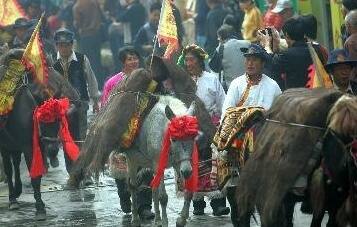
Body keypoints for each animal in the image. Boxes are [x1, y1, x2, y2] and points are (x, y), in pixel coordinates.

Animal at [0, 49, 79, 220]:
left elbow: (36, 174)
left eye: (59, 121)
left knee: (16, 163)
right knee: (9, 169)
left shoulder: (36, 145)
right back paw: (13, 198)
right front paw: (38, 207)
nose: (52, 148)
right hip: (6, 145)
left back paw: (18, 190)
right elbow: (32, 175)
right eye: (41, 121)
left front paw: (39, 205)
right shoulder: (27, 145)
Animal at [124, 96, 199, 227]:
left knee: (153, 189)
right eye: (174, 139)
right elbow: (163, 197)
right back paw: (135, 219)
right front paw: (165, 221)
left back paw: (157, 219)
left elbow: (188, 193)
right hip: (132, 160)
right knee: (133, 186)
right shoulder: (159, 165)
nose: (187, 171)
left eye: (193, 137)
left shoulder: (180, 164)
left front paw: (181, 220)